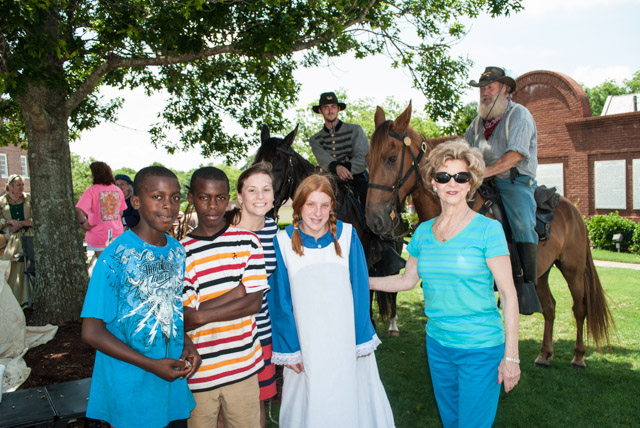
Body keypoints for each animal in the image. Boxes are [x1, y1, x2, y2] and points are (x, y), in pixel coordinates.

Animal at [362, 103, 612, 368]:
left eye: (391, 158)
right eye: (367, 159)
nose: (373, 219)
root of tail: (572, 210)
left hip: (572, 270)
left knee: (579, 308)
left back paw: (578, 356)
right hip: (542, 273)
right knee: (550, 307)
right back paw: (544, 354)